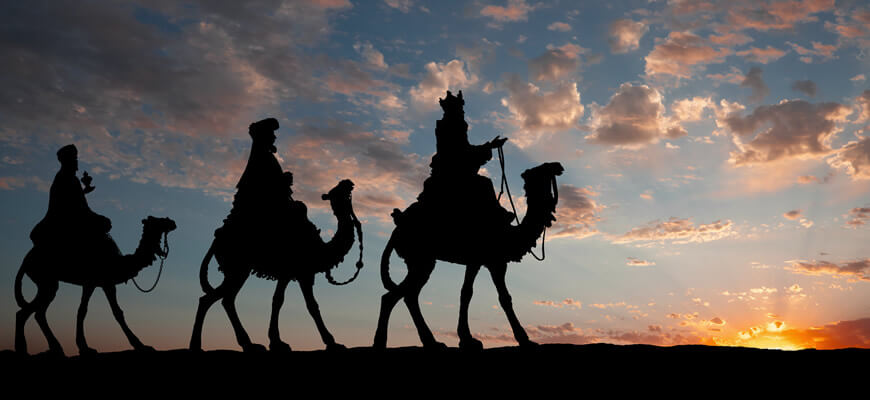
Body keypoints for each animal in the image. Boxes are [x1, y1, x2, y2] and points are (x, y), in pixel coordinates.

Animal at [14, 216, 177, 356]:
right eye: (157, 220)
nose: (172, 222)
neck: (121, 263)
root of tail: (25, 260)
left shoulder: (92, 284)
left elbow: (82, 310)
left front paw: (84, 347)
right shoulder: (104, 282)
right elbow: (116, 312)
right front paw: (141, 345)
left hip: (47, 282)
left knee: (38, 313)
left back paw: (54, 349)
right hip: (46, 281)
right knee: (28, 312)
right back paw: (24, 349)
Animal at [191, 180, 364, 352]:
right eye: (339, 192)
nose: (349, 183)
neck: (320, 249)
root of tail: (217, 239)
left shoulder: (291, 274)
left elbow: (278, 300)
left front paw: (276, 341)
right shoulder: (302, 272)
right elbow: (310, 305)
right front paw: (332, 342)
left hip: (237, 269)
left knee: (225, 299)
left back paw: (247, 344)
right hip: (238, 268)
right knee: (213, 299)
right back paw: (198, 345)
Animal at [374, 162, 564, 350]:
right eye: (541, 171)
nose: (559, 166)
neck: (511, 235)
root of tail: (397, 228)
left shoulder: (477, 261)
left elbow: (466, 292)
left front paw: (466, 339)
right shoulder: (495, 261)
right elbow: (504, 298)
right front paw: (524, 339)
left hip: (419, 260)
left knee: (409, 295)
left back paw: (431, 342)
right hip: (421, 259)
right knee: (395, 295)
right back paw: (381, 342)